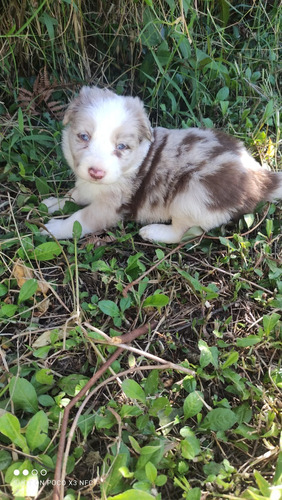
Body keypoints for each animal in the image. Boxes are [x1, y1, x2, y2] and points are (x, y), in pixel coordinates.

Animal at [42, 87, 282, 243]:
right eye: (83, 136)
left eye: (121, 146)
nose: (96, 172)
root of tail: (259, 178)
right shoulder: (87, 186)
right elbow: (74, 195)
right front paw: (53, 202)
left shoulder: (108, 209)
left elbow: (78, 220)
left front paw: (53, 228)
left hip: (192, 195)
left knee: (183, 233)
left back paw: (153, 232)